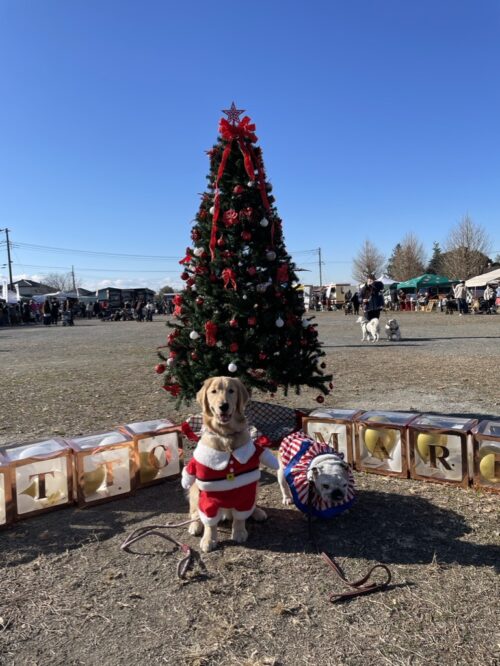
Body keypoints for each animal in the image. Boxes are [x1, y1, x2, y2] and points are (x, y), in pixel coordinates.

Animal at [182, 376, 280, 552]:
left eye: (231, 391)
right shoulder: (208, 491)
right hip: (194, 490)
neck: (226, 435)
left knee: (250, 505)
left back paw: (257, 512)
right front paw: (209, 539)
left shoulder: (245, 488)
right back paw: (195, 525)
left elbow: (240, 516)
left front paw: (239, 531)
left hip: (255, 487)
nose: (224, 406)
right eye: (213, 391)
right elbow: (210, 522)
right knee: (195, 513)